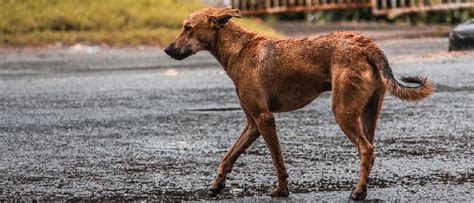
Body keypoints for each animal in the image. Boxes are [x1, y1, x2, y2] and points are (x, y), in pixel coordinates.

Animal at [164, 6, 434, 200]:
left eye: (188, 28)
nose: (167, 50)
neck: (238, 49)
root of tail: (367, 44)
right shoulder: (252, 124)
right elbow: (229, 156)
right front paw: (217, 185)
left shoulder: (264, 119)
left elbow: (277, 161)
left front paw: (281, 190)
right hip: (368, 112)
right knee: (370, 150)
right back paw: (363, 187)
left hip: (343, 111)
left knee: (366, 149)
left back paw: (357, 192)